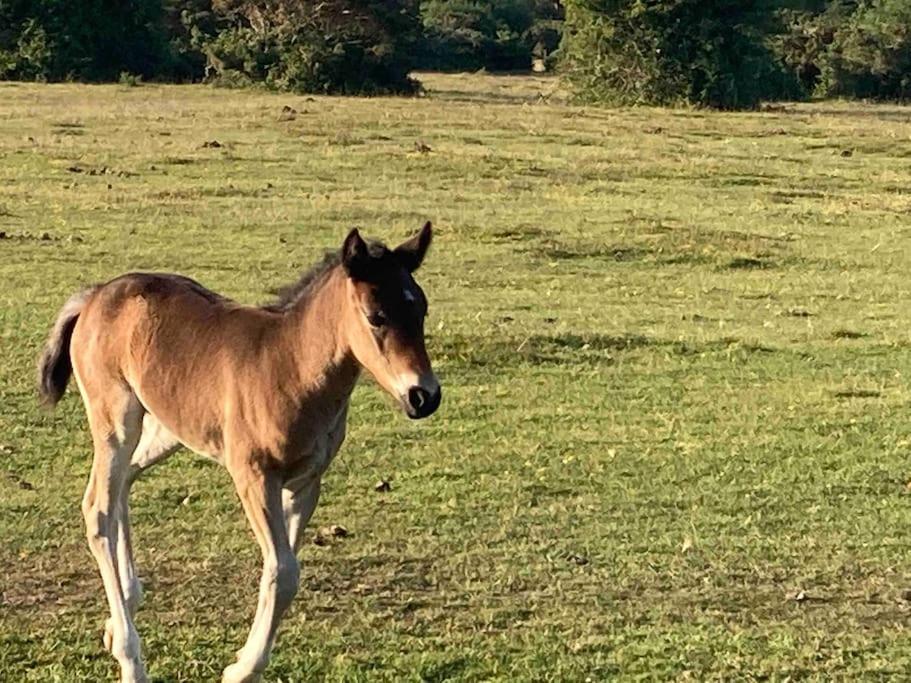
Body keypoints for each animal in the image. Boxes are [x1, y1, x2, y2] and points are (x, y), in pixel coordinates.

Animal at [37, 224, 444, 683]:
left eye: (421, 309)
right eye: (376, 316)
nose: (424, 396)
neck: (291, 367)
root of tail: (95, 295)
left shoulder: (306, 483)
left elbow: (280, 573)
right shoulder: (253, 475)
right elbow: (284, 572)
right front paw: (241, 669)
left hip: (168, 427)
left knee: (125, 481)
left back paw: (122, 606)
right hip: (116, 420)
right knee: (98, 508)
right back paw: (130, 658)